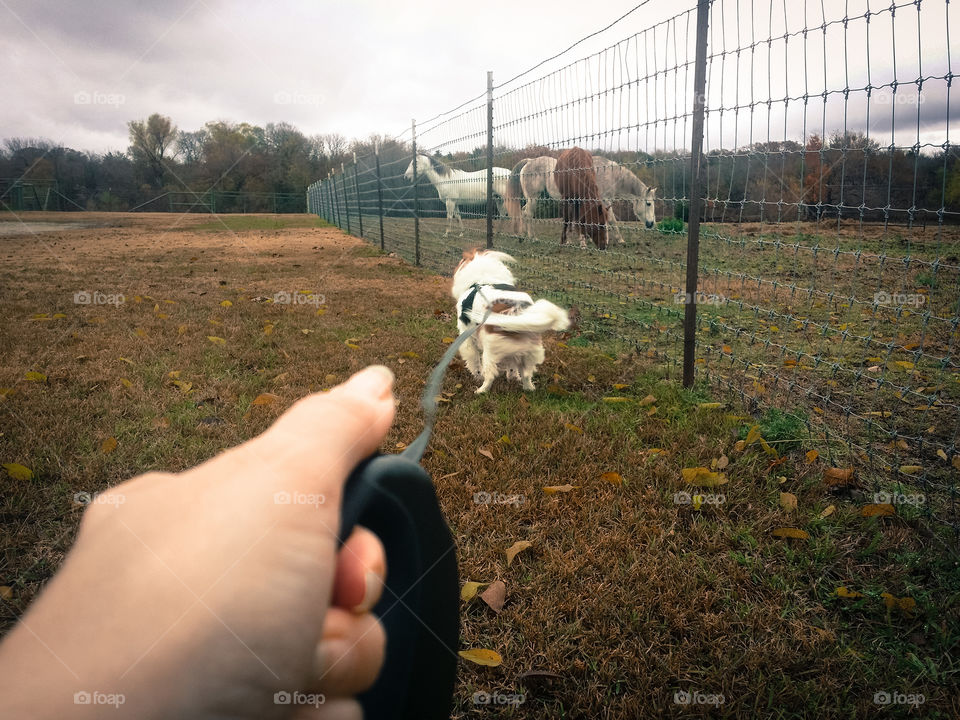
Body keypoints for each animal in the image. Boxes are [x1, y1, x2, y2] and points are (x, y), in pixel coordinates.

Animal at [452, 249, 568, 394]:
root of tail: (515, 309)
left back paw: (481, 390)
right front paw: (513, 376)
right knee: (526, 375)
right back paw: (527, 388)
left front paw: (477, 377)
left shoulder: (467, 340)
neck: (483, 278)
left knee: (490, 375)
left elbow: (474, 361)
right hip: (528, 352)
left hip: (490, 352)